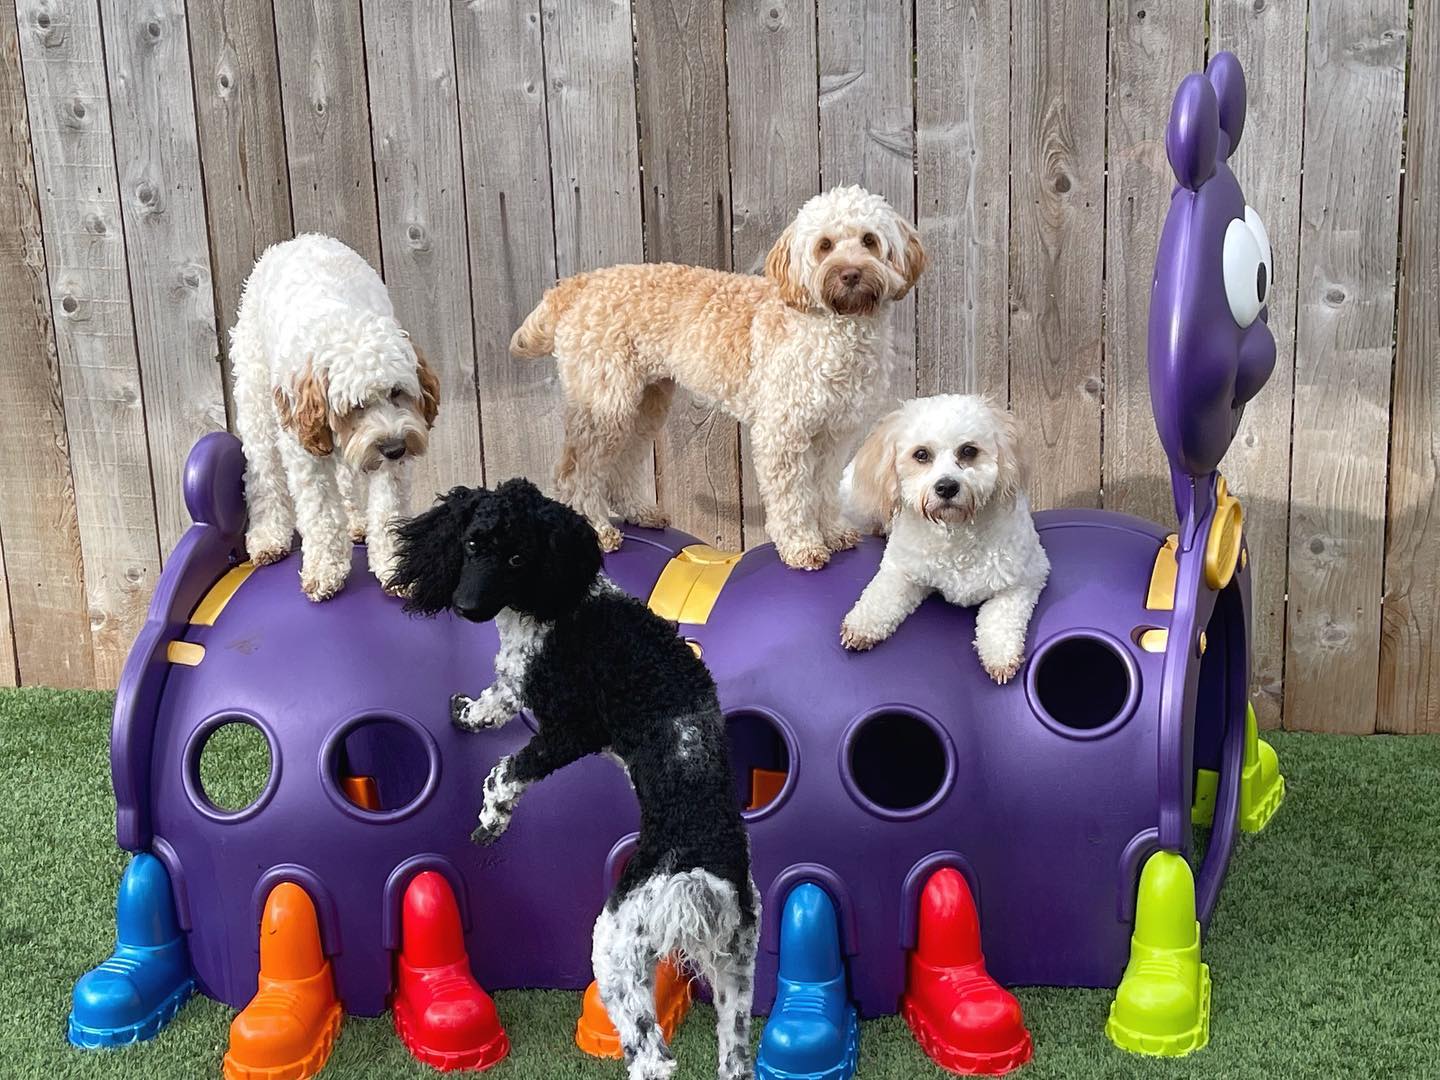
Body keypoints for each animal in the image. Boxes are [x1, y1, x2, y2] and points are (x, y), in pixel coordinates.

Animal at [227, 234, 440, 601]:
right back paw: (269, 536)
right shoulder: (307, 455)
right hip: (256, 406)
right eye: (356, 406)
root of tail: (298, 239)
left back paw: (355, 522)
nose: (395, 448)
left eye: (397, 392)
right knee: (264, 476)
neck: (342, 322)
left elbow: (388, 509)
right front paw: (324, 570)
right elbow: (322, 513)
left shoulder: (390, 459)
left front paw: (394, 567)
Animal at [512, 185, 927, 576]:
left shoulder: (833, 434)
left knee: (622, 463)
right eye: (824, 245)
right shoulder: (783, 432)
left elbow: (823, 489)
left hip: (645, 402)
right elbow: (792, 497)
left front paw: (833, 532)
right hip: (604, 401)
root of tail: (580, 282)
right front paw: (802, 547)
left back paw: (640, 511)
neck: (833, 329)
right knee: (574, 472)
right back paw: (597, 530)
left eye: (869, 241)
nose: (851, 273)